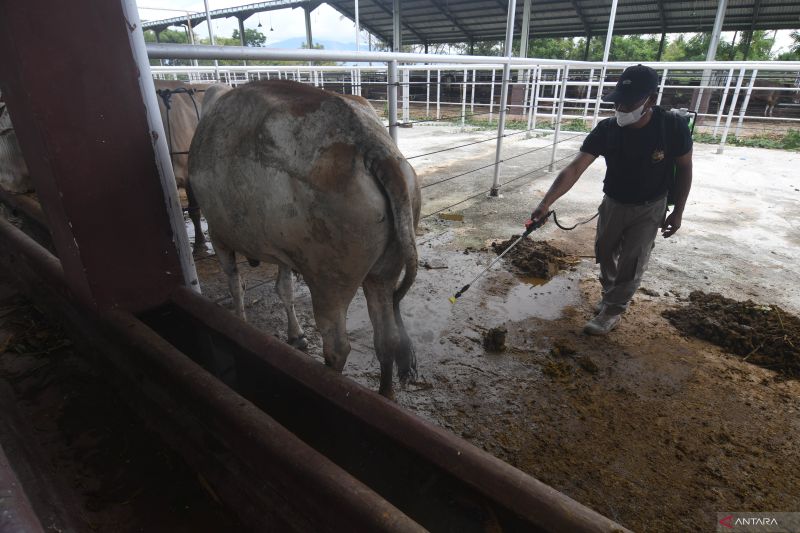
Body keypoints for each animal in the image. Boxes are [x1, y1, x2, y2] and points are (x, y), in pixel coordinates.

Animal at [190, 79, 422, 394]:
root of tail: (373, 146)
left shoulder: (219, 233)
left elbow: (235, 284)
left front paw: (240, 321)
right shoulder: (284, 250)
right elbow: (284, 288)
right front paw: (296, 334)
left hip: (328, 281)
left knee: (337, 347)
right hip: (383, 271)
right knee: (386, 339)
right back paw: (385, 394)